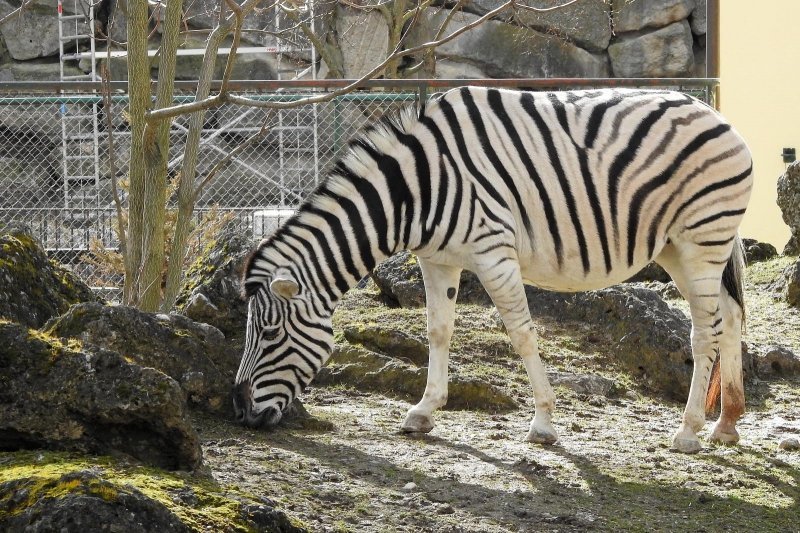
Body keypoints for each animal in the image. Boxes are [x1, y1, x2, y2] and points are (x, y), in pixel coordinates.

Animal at [233, 87, 752, 454]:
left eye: (271, 334)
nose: (241, 413)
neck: (415, 192)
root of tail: (716, 113)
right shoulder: (437, 258)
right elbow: (438, 331)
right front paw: (424, 410)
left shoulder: (493, 251)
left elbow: (522, 334)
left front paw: (542, 423)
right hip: (676, 248)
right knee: (729, 319)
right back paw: (726, 424)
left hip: (702, 239)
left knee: (704, 331)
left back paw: (688, 432)